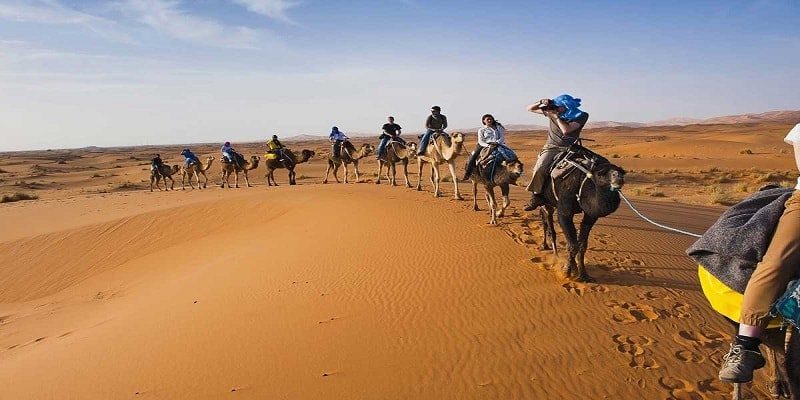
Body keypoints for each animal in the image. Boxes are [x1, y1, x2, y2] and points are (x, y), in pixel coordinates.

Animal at [536, 147, 628, 282]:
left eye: (621, 171)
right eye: (601, 174)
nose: (619, 178)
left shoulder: (591, 215)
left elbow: (581, 245)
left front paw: (583, 274)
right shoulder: (564, 211)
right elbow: (572, 245)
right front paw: (567, 271)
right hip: (546, 200)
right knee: (548, 222)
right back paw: (551, 252)